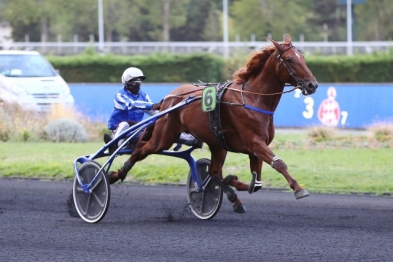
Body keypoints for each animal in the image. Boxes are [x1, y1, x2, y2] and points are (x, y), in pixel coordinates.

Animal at [108, 34, 316, 213]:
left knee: (215, 171)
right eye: (290, 59)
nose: (312, 84)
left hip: (217, 143)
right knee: (140, 151)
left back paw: (233, 197)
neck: (253, 99)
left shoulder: (255, 148)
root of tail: (169, 97)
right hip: (164, 137)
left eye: (303, 57)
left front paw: (237, 183)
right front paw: (299, 189)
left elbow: (256, 183)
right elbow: (279, 163)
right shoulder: (254, 142)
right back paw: (115, 174)